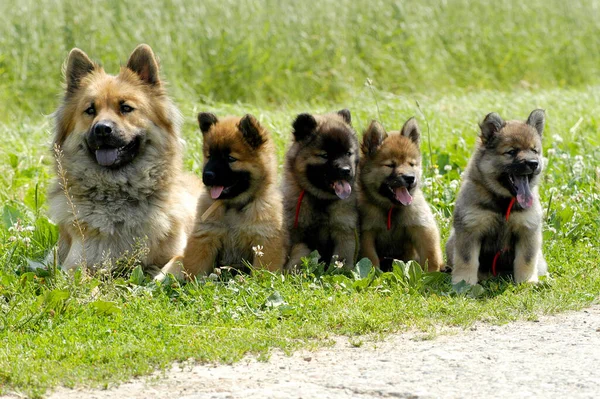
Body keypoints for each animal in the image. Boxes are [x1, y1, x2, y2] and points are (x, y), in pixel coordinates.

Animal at [47, 44, 202, 276]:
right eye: (90, 110)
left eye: (126, 108)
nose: (102, 129)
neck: (119, 195)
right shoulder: (75, 263)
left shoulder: (179, 252)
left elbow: (174, 263)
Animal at [358, 118, 442, 272]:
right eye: (390, 165)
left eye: (411, 164)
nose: (410, 178)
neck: (390, 208)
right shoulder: (367, 233)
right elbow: (371, 258)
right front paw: (374, 273)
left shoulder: (422, 227)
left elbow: (430, 254)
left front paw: (431, 273)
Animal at [446, 109, 548, 284]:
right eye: (511, 152)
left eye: (534, 150)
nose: (533, 163)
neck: (502, 201)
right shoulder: (470, 229)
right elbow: (467, 260)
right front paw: (464, 283)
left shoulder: (527, 229)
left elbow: (526, 259)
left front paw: (527, 282)